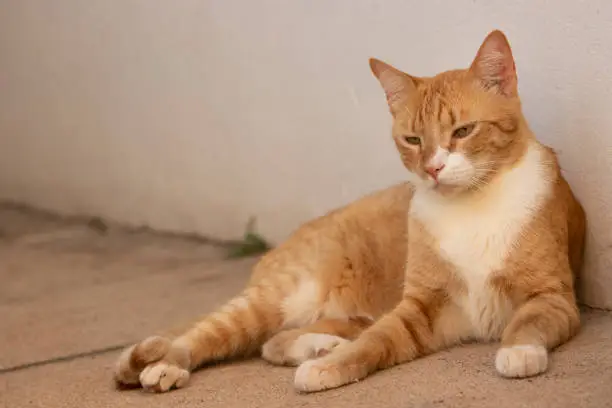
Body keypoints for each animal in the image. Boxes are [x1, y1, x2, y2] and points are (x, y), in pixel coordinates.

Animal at [112, 30, 584, 394]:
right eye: (413, 140)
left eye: (463, 131)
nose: (432, 168)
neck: (471, 206)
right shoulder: (418, 308)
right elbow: (375, 342)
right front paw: (329, 368)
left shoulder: (553, 296)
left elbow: (528, 323)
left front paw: (518, 352)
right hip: (280, 296)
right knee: (208, 335)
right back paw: (169, 364)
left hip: (340, 315)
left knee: (273, 343)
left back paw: (317, 345)